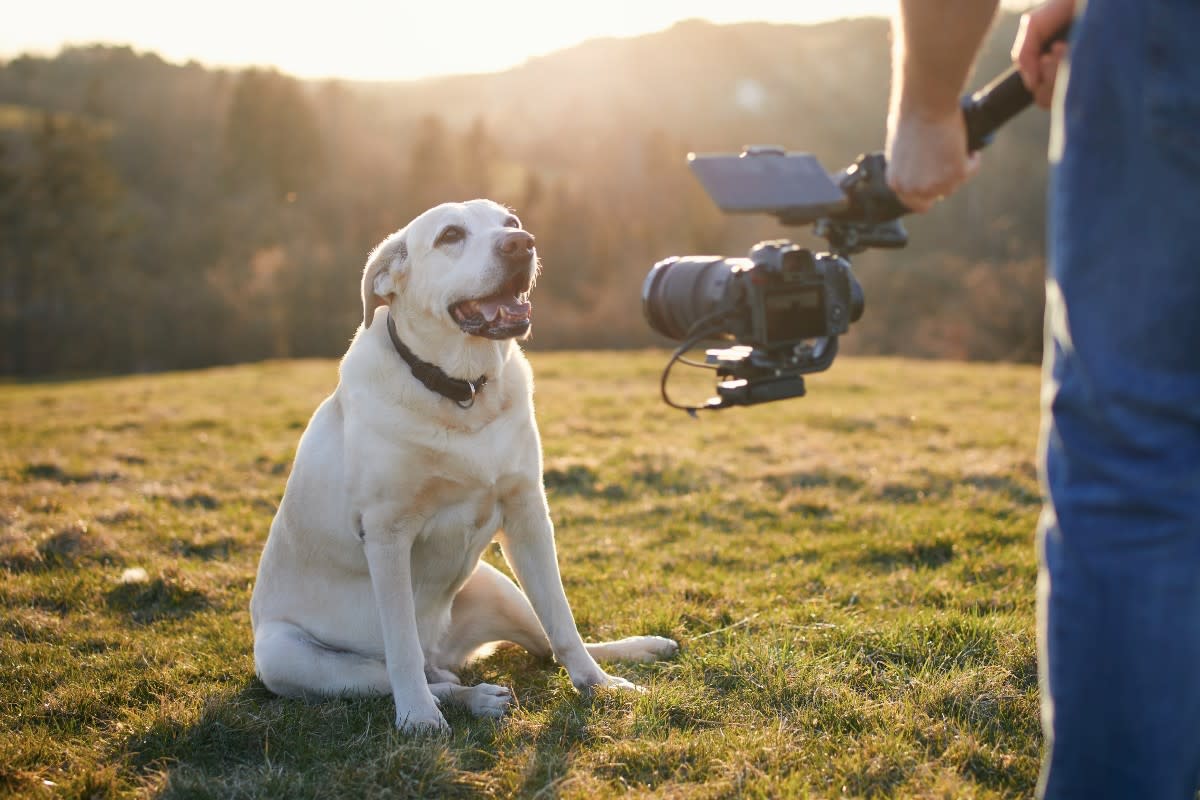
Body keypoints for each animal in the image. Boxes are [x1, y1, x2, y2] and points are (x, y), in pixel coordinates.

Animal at [249, 199, 681, 734]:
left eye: (510, 224)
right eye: (450, 235)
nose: (521, 244)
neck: (462, 390)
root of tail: (449, 654)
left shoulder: (527, 515)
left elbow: (562, 620)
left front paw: (598, 685)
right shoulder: (387, 535)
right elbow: (401, 647)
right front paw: (417, 718)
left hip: (498, 586)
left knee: (544, 645)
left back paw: (638, 651)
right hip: (285, 655)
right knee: (419, 675)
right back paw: (471, 698)